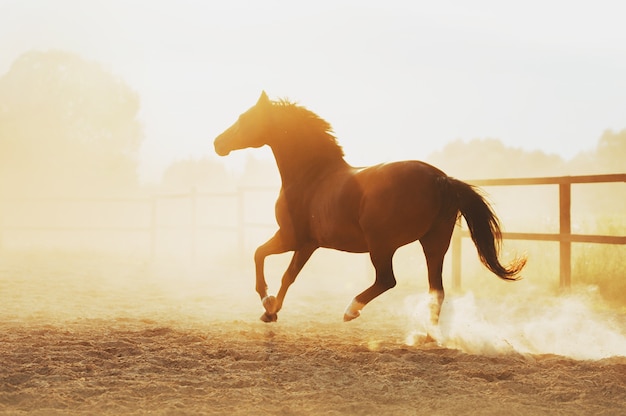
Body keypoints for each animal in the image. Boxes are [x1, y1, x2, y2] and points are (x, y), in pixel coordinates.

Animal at [212, 92, 524, 328]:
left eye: (244, 118)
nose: (218, 143)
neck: (312, 176)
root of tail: (441, 179)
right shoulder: (309, 243)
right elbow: (289, 275)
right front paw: (271, 312)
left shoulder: (291, 237)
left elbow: (259, 254)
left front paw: (267, 302)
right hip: (434, 243)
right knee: (436, 290)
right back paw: (428, 336)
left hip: (381, 244)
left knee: (387, 279)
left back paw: (352, 310)